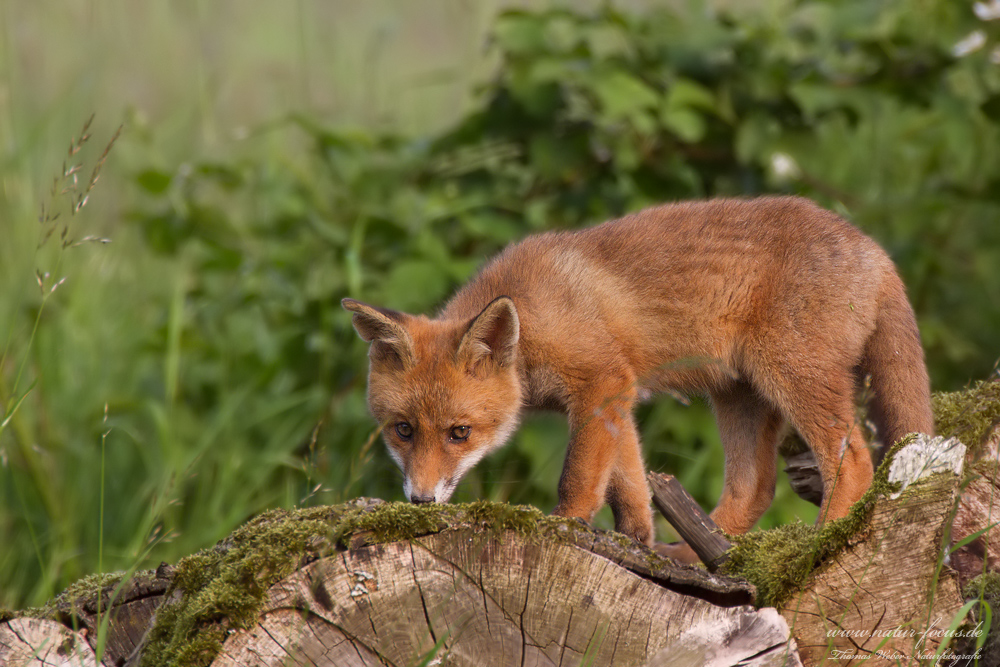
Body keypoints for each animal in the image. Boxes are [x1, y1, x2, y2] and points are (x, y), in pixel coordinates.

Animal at [344, 196, 936, 556]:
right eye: (403, 431)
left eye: (459, 433)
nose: (420, 502)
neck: (535, 319)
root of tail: (873, 249)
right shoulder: (618, 397)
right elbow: (629, 483)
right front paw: (637, 544)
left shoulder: (600, 385)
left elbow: (579, 478)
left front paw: (563, 527)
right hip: (739, 396)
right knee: (755, 489)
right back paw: (701, 557)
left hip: (793, 377)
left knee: (855, 462)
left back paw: (818, 542)